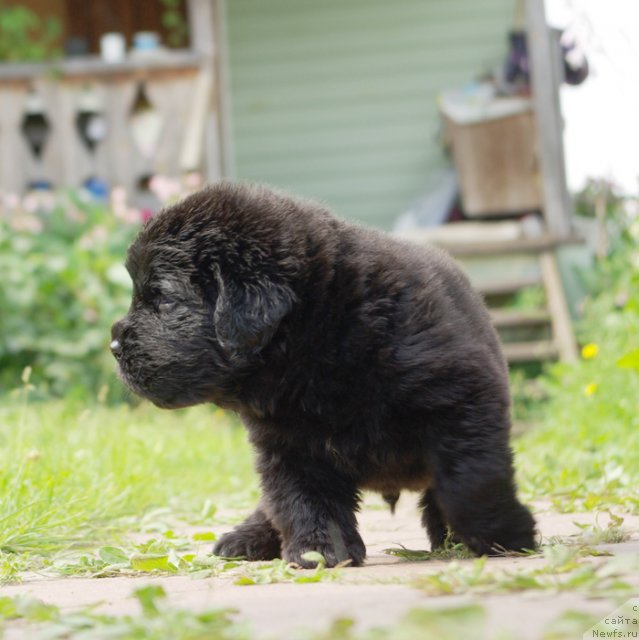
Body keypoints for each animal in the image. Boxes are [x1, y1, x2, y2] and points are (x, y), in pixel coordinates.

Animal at [112, 182, 536, 568]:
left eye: (162, 298)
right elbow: (303, 498)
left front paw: (507, 535)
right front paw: (319, 551)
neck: (321, 339)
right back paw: (247, 537)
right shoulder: (289, 441)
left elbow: (472, 480)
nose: (114, 344)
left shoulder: (463, 401)